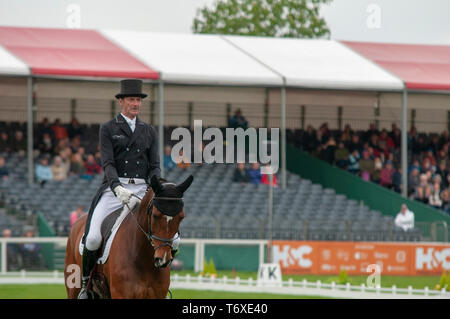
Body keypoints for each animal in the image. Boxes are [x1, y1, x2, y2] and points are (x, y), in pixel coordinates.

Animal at [63, 175, 193, 300]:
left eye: (181, 217)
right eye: (155, 215)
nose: (163, 259)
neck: (143, 259)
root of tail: (79, 220)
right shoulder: (120, 294)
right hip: (73, 285)